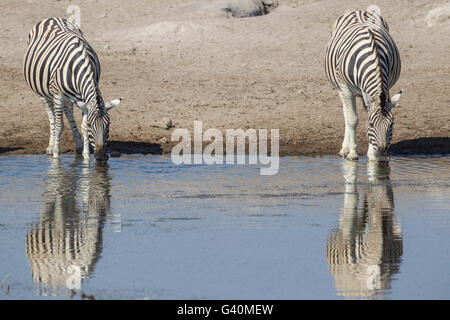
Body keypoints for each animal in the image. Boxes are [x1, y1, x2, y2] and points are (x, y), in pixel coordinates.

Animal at [23, 17, 120, 161]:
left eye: (108, 125)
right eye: (92, 125)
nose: (101, 156)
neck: (78, 66)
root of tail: (52, 18)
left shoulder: (83, 98)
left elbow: (82, 127)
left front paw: (86, 157)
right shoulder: (58, 94)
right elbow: (59, 126)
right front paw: (56, 156)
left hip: (70, 96)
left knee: (68, 111)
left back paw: (78, 145)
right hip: (43, 92)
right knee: (51, 114)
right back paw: (51, 146)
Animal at [326, 7, 402, 162]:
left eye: (392, 124)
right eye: (371, 124)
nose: (383, 157)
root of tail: (358, 10)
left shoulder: (386, 86)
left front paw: (372, 154)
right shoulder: (345, 88)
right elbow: (352, 119)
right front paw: (353, 153)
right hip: (340, 88)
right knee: (347, 113)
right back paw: (345, 149)